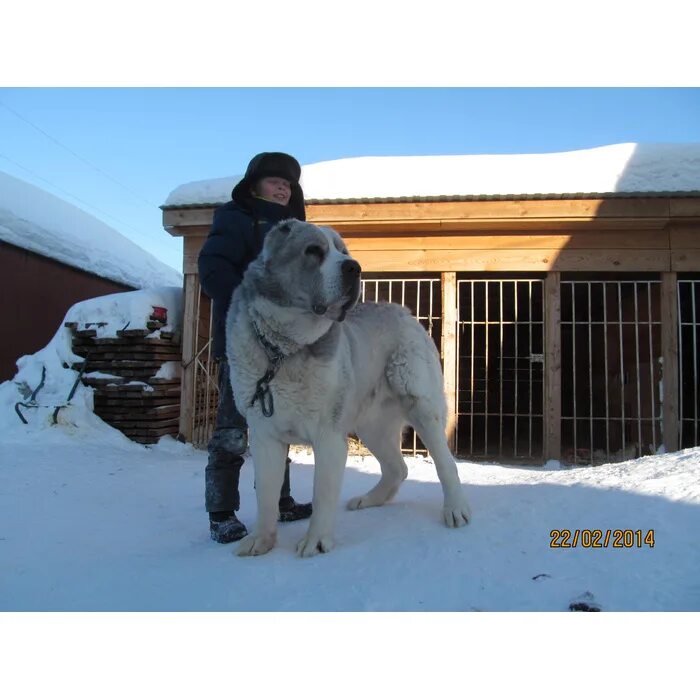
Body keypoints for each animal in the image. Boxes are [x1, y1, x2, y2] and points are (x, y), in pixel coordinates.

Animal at [228, 219, 470, 556]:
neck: (284, 350)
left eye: (343, 252)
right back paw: (369, 500)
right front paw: (261, 540)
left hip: (421, 406)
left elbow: (322, 492)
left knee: (446, 463)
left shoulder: (328, 435)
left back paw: (456, 509)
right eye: (313, 251)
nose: (354, 267)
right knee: (397, 468)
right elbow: (265, 492)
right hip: (371, 425)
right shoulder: (265, 436)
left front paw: (316, 541)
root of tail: (404, 311)